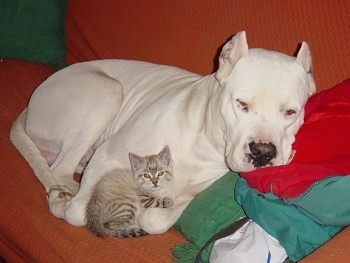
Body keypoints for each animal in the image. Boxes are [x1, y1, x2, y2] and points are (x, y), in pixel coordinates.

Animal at [10, 31, 314, 235]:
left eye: (291, 112)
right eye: (241, 104)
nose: (263, 152)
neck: (204, 143)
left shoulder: (190, 194)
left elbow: (156, 220)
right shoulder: (108, 154)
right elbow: (77, 213)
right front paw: (66, 205)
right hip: (107, 91)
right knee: (60, 170)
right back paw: (63, 194)